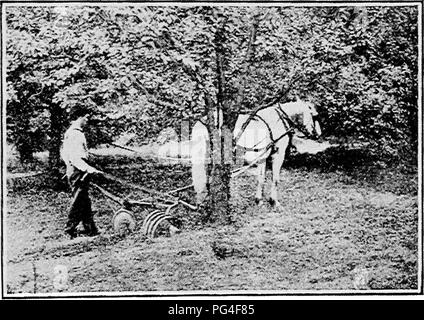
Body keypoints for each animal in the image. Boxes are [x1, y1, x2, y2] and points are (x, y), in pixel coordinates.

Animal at [190, 100, 322, 208]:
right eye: (314, 116)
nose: (318, 135)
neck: (280, 119)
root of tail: (203, 123)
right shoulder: (277, 154)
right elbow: (275, 178)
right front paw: (273, 201)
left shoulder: (263, 157)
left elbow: (261, 178)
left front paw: (259, 199)